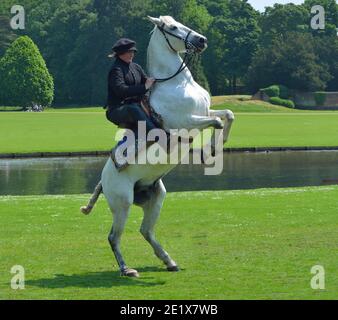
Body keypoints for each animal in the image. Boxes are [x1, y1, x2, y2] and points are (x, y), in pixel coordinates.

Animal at [81, 15, 235, 276]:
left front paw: (218, 145)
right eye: (172, 27)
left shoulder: (204, 112)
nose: (201, 40)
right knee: (114, 237)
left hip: (155, 198)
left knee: (146, 231)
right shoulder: (184, 124)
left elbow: (227, 115)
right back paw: (127, 269)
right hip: (122, 203)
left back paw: (169, 260)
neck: (177, 84)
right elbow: (216, 122)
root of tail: (103, 179)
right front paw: (209, 151)